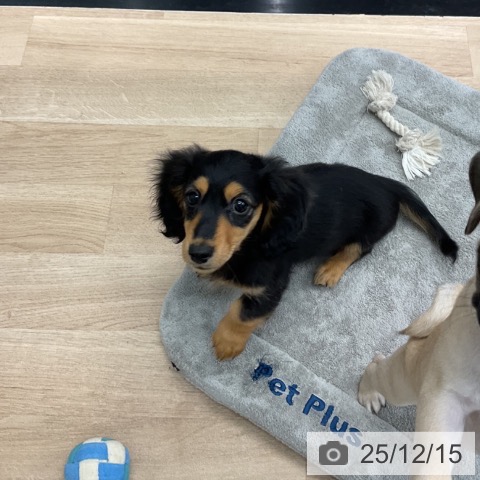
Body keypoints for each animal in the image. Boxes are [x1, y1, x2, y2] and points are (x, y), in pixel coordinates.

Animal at [153, 145, 458, 361]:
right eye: (192, 197)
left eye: (241, 205)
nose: (198, 253)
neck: (250, 242)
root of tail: (386, 183)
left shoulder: (271, 284)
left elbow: (242, 313)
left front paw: (227, 342)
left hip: (370, 229)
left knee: (359, 248)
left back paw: (330, 269)